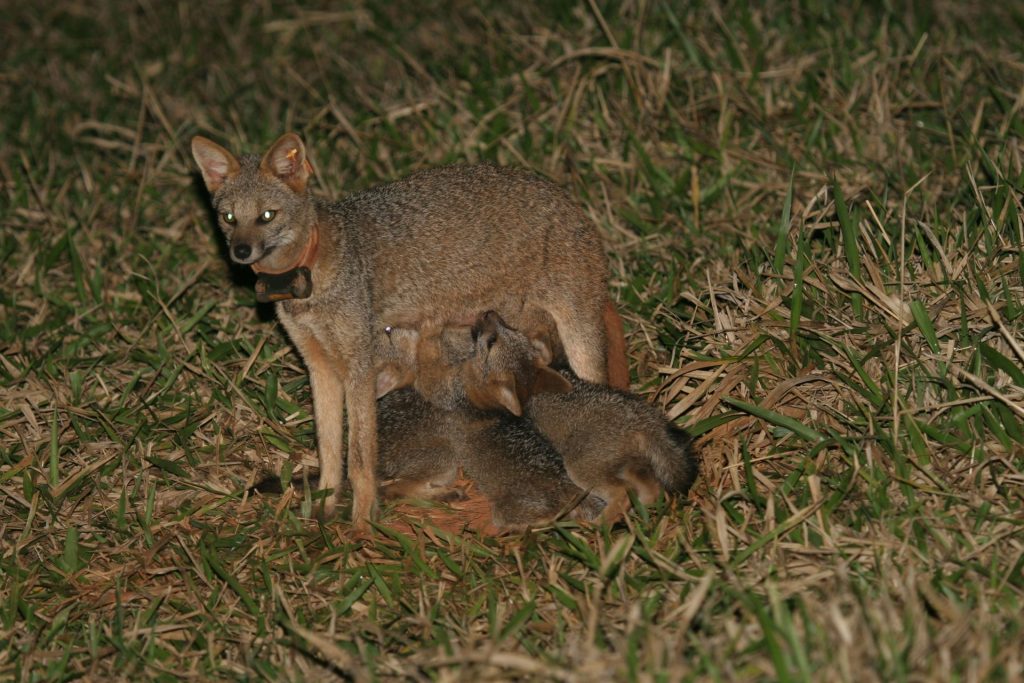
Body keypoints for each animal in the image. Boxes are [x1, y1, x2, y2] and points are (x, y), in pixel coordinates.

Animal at [191, 132, 627, 528]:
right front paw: (326, 510)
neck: (308, 277)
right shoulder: (320, 367)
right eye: (229, 218)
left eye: (267, 216)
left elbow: (360, 460)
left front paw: (362, 525)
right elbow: (330, 451)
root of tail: (567, 200)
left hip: (574, 337)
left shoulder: (358, 366)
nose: (240, 251)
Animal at [403, 311, 698, 522]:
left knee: (624, 493)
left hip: (580, 469)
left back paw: (600, 528)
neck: (529, 386)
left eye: (491, 341)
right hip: (628, 466)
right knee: (650, 490)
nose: (489, 312)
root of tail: (644, 416)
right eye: (511, 328)